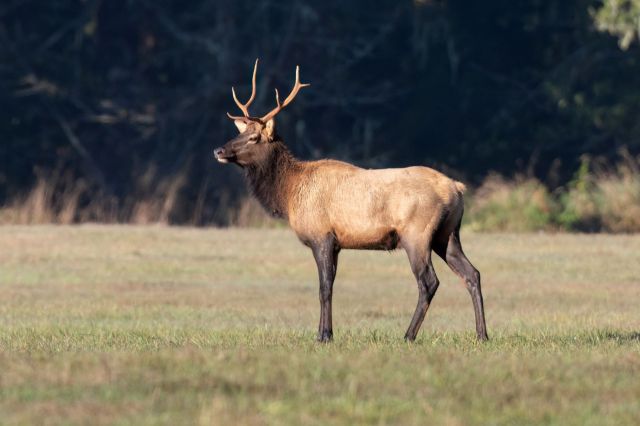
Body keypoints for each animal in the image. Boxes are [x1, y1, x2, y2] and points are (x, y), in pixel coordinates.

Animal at [214, 59, 488, 342]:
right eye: (241, 133)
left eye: (254, 137)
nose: (219, 150)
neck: (289, 194)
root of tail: (457, 189)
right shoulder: (337, 244)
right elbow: (331, 285)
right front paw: (327, 333)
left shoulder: (321, 235)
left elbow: (324, 287)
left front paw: (323, 336)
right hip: (448, 234)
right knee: (472, 273)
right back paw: (482, 335)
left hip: (417, 234)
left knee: (429, 281)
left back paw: (408, 335)